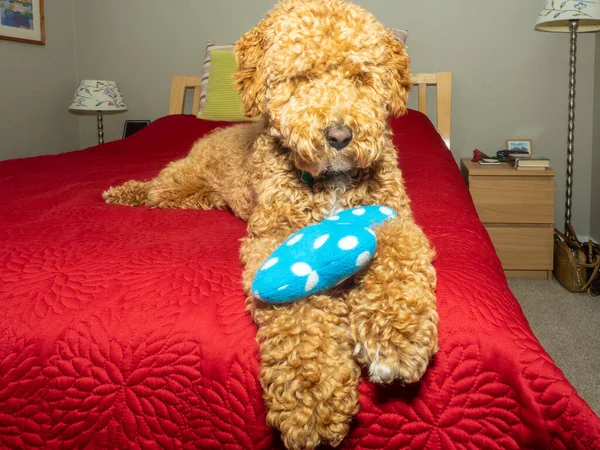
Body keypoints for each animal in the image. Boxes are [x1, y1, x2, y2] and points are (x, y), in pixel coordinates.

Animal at [104, 1, 436, 448]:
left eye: (360, 77)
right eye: (302, 77)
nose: (339, 135)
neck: (331, 181)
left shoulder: (395, 218)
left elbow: (401, 262)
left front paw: (397, 336)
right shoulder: (274, 238)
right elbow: (300, 311)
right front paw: (312, 392)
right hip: (178, 184)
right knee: (154, 187)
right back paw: (123, 192)